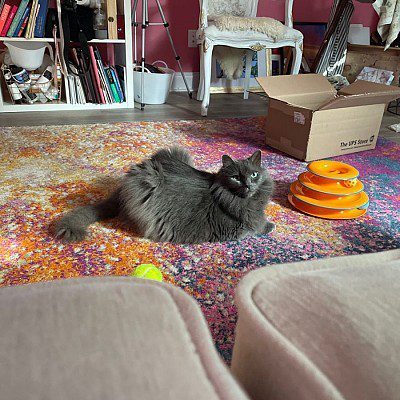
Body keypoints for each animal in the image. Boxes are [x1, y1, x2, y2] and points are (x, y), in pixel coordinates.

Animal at [54, 148, 276, 244]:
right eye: (236, 177)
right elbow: (256, 228)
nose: (248, 183)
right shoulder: (235, 230)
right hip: (146, 182)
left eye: (254, 174)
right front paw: (271, 226)